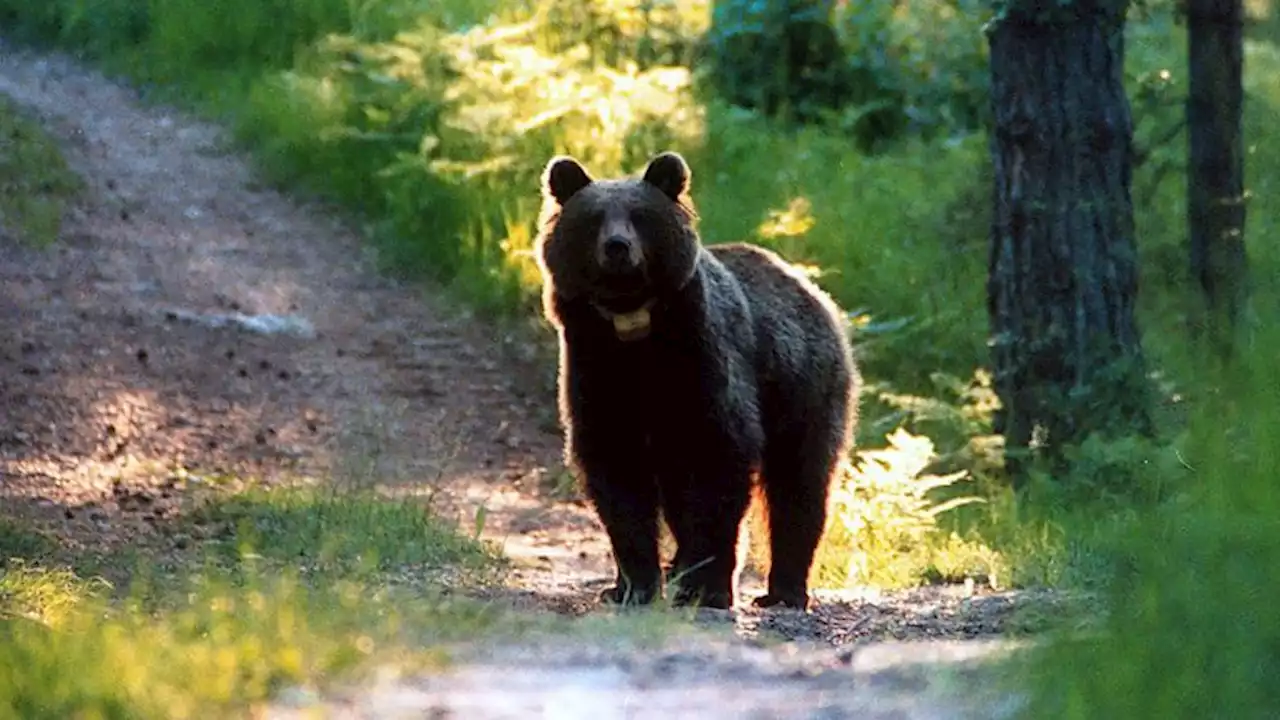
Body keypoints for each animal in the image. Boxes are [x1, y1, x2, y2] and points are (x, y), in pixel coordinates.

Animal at [529, 149, 860, 604]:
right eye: (594, 218)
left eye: (640, 215)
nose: (617, 247)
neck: (634, 331)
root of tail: (812, 290)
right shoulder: (597, 369)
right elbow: (617, 475)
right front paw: (633, 584)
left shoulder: (702, 365)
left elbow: (717, 464)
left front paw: (706, 586)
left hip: (802, 386)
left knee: (800, 484)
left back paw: (784, 589)